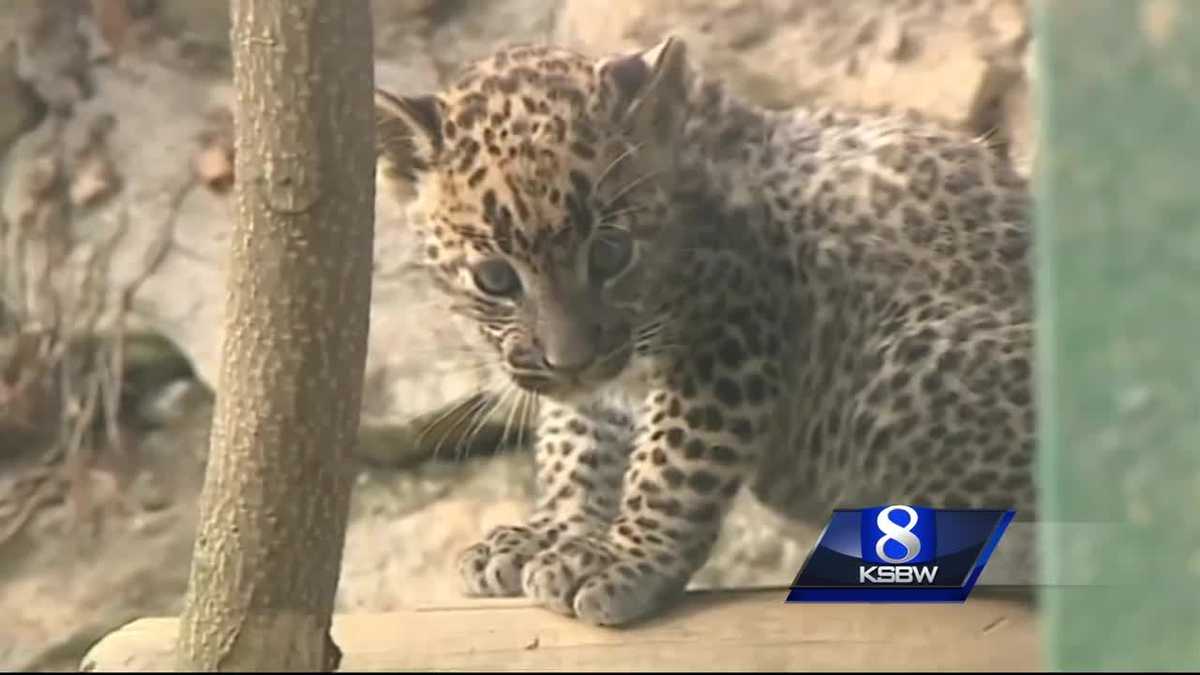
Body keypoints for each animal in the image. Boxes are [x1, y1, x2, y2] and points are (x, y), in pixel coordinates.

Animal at [373, 35, 1037, 627]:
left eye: (610, 253)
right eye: (494, 277)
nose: (571, 360)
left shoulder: (734, 327)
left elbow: (673, 462)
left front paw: (619, 562)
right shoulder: (601, 380)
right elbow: (576, 447)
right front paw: (552, 533)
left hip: (890, 385)